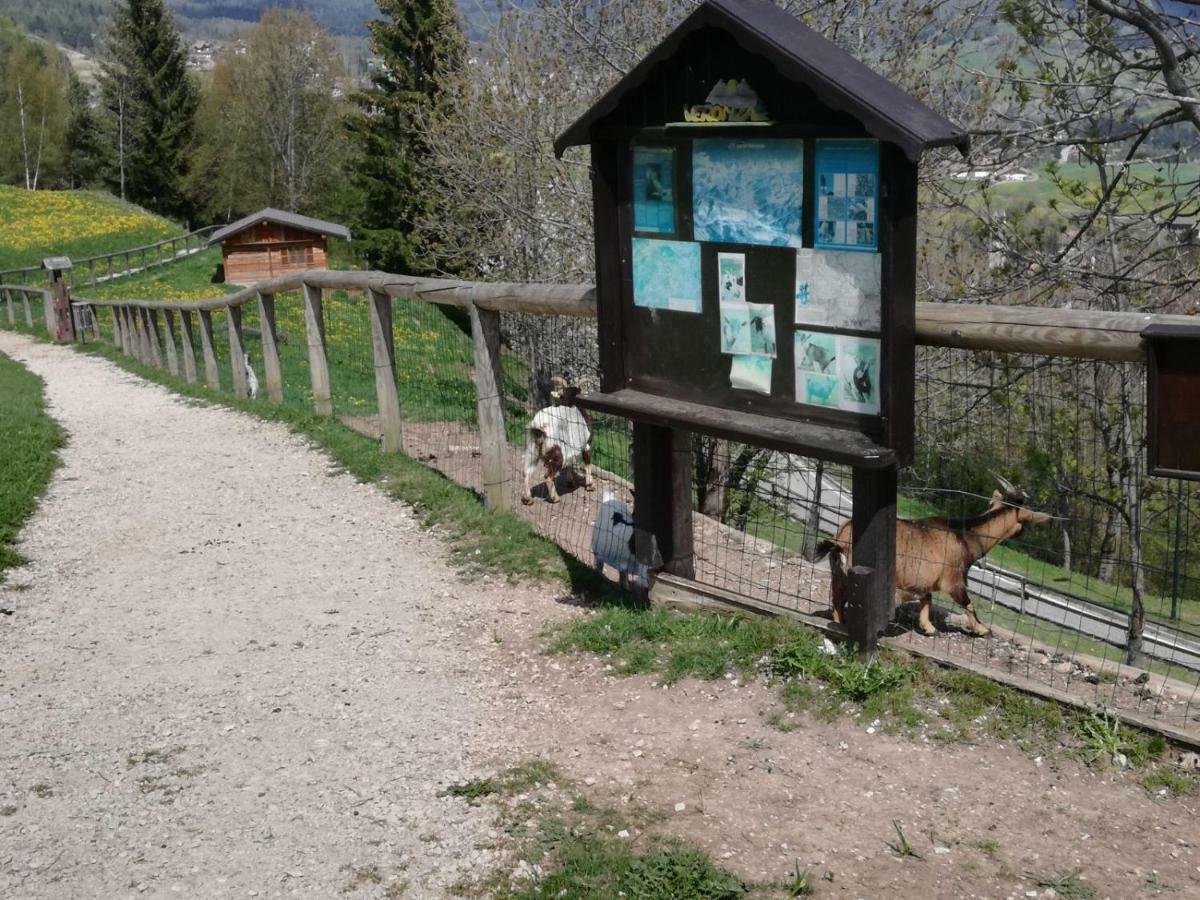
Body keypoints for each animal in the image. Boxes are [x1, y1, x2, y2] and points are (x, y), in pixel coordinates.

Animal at [816, 482, 1051, 638]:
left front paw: (929, 628)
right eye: (1024, 522)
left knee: (837, 599)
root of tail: (841, 540)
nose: (1022, 533)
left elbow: (927, 599)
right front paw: (983, 629)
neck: (964, 536)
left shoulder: (925, 578)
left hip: (839, 573)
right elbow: (968, 604)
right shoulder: (953, 580)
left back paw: (840, 623)